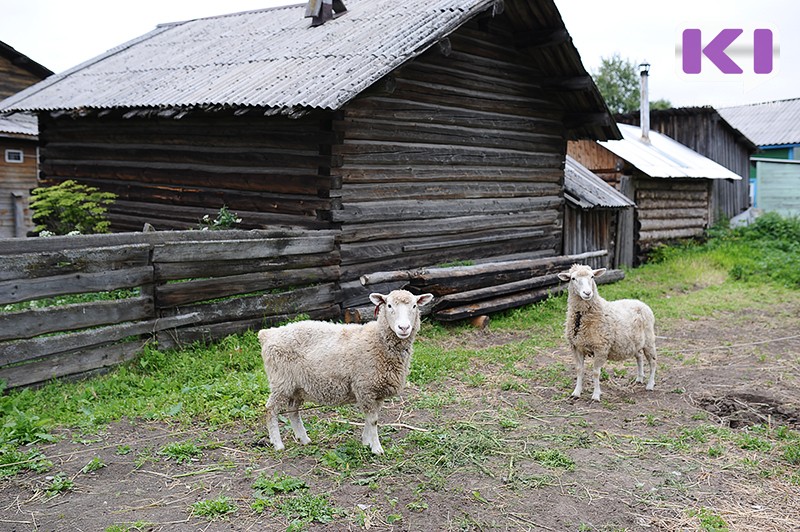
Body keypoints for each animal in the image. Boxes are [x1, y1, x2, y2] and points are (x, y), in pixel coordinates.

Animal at [256, 288, 432, 456]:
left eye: (414, 306)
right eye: (389, 305)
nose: (404, 328)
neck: (378, 340)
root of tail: (267, 334)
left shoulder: (377, 391)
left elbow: (370, 419)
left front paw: (366, 442)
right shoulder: (365, 387)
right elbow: (373, 420)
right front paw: (376, 448)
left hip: (297, 385)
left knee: (293, 410)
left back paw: (303, 439)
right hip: (281, 381)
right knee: (271, 409)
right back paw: (278, 444)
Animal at [556, 264, 656, 402]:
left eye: (592, 277)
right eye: (573, 278)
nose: (587, 293)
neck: (580, 319)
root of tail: (641, 302)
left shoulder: (600, 348)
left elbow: (596, 372)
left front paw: (596, 395)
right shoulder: (576, 347)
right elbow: (579, 370)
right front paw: (576, 392)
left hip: (649, 341)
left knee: (653, 362)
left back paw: (650, 385)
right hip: (634, 343)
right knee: (639, 357)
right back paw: (639, 378)